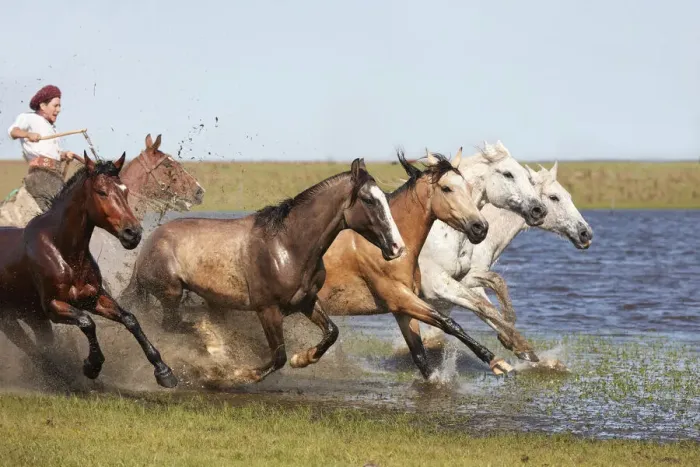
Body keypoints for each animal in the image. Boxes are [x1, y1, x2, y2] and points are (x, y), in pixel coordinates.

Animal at [0, 152, 177, 388]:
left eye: (125, 190)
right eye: (101, 191)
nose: (133, 233)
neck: (63, 251)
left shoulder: (92, 298)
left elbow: (130, 319)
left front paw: (163, 371)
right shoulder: (53, 306)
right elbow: (87, 322)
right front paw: (92, 365)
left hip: (34, 317)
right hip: (10, 320)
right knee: (31, 349)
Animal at [119, 158, 406, 383]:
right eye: (368, 200)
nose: (397, 247)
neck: (287, 246)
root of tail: (148, 245)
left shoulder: (306, 301)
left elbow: (331, 333)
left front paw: (303, 358)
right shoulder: (267, 310)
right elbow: (278, 356)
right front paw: (239, 374)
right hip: (171, 294)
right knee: (172, 325)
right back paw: (214, 348)